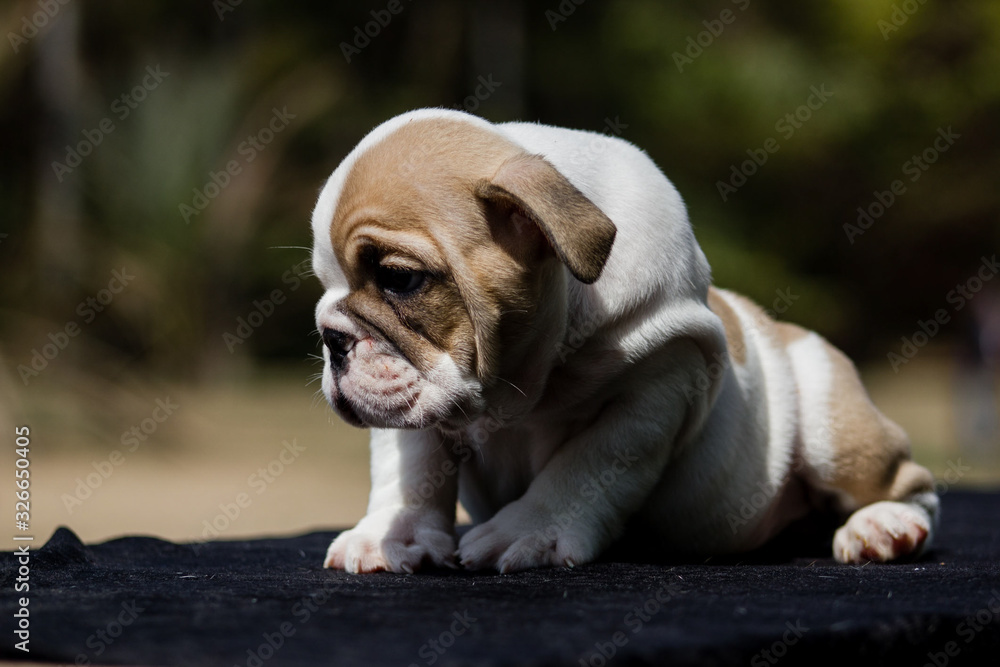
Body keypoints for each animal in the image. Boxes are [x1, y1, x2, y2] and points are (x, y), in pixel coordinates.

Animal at [310, 108, 936, 576]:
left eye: (398, 278)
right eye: (324, 286)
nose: (331, 338)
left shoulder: (652, 394)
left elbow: (583, 467)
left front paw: (529, 531)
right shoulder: (417, 403)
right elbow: (409, 467)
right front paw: (392, 534)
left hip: (832, 425)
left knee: (908, 484)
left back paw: (884, 525)